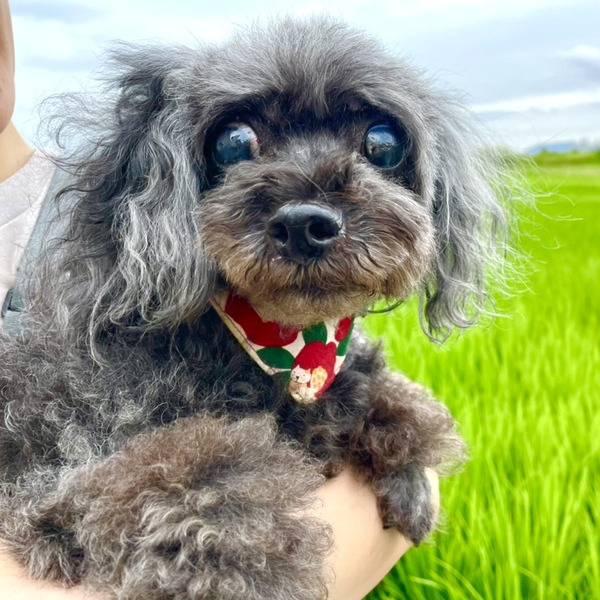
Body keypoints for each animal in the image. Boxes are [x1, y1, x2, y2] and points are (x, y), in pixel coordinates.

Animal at [0, 15, 509, 600]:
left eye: (381, 142)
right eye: (234, 141)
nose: (305, 224)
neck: (279, 347)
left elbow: (377, 389)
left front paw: (406, 473)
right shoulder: (69, 468)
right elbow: (199, 496)